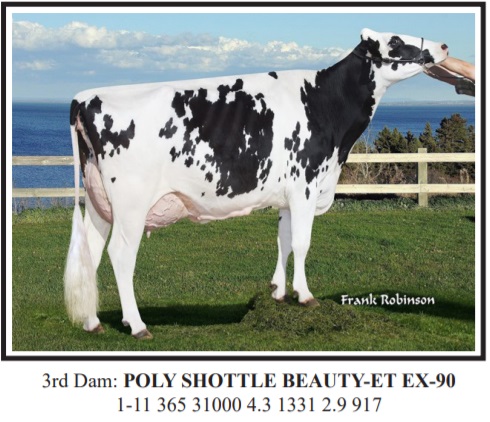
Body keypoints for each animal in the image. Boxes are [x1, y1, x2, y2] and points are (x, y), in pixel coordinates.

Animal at [64, 28, 449, 339]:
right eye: (395, 40)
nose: (444, 45)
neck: (324, 104)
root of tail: (83, 98)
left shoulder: (287, 195)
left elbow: (284, 241)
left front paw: (278, 293)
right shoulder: (305, 184)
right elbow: (303, 243)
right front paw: (305, 296)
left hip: (100, 202)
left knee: (92, 253)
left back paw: (93, 323)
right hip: (130, 202)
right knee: (120, 254)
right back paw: (137, 325)